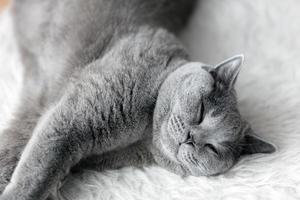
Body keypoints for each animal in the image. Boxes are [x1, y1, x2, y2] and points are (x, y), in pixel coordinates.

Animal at [0, 0, 276, 199]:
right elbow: (39, 171)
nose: (191, 138)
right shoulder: (72, 119)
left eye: (212, 148)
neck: (143, 135)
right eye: (201, 111)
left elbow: (44, 165)